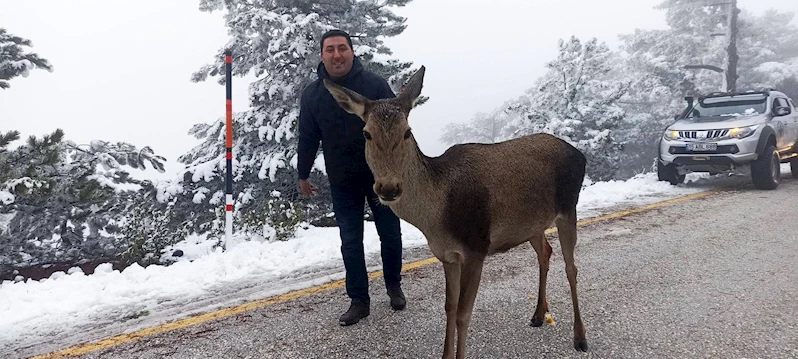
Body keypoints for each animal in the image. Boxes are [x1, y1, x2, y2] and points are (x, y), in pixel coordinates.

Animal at [322, 66, 592, 358]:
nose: (389, 188)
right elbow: (449, 308)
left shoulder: (476, 247)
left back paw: (580, 337)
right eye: (366, 134)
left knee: (572, 267)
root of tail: (580, 154)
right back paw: (538, 315)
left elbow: (464, 314)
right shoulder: (447, 255)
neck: (436, 219)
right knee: (545, 253)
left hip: (568, 207)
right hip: (533, 223)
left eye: (407, 132)